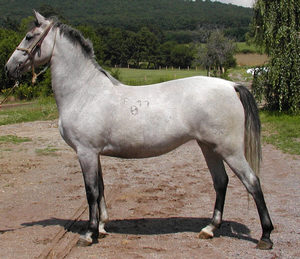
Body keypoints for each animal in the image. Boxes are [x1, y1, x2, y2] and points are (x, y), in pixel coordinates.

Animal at [4, 11, 274, 250]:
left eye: (29, 37)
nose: (8, 68)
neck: (85, 91)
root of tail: (231, 85)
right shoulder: (94, 154)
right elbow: (101, 189)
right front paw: (101, 227)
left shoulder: (86, 152)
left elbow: (91, 191)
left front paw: (89, 234)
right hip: (209, 147)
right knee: (221, 182)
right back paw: (209, 229)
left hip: (229, 150)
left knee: (252, 182)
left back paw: (266, 237)